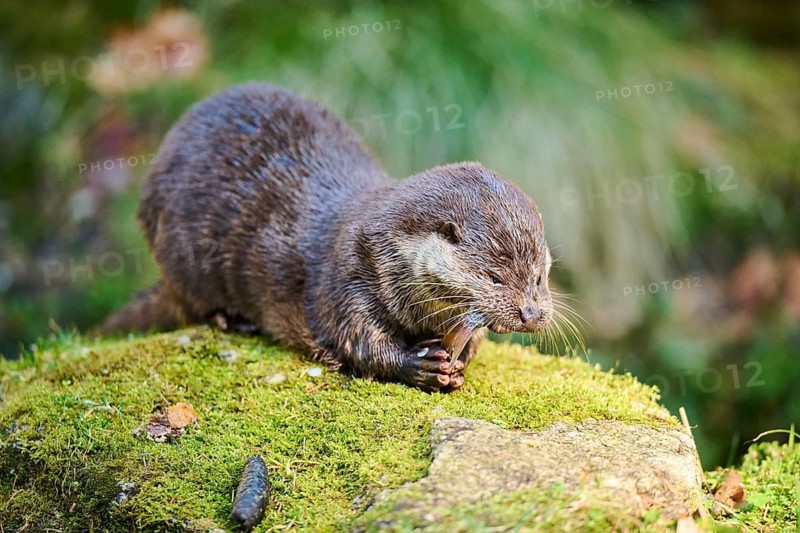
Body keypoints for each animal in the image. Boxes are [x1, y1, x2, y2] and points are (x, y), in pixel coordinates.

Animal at [102, 83, 554, 392]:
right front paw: (420, 365)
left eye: (538, 277)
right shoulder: (347, 275)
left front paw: (459, 363)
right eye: (494, 278)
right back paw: (229, 319)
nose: (532, 314)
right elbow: (356, 342)